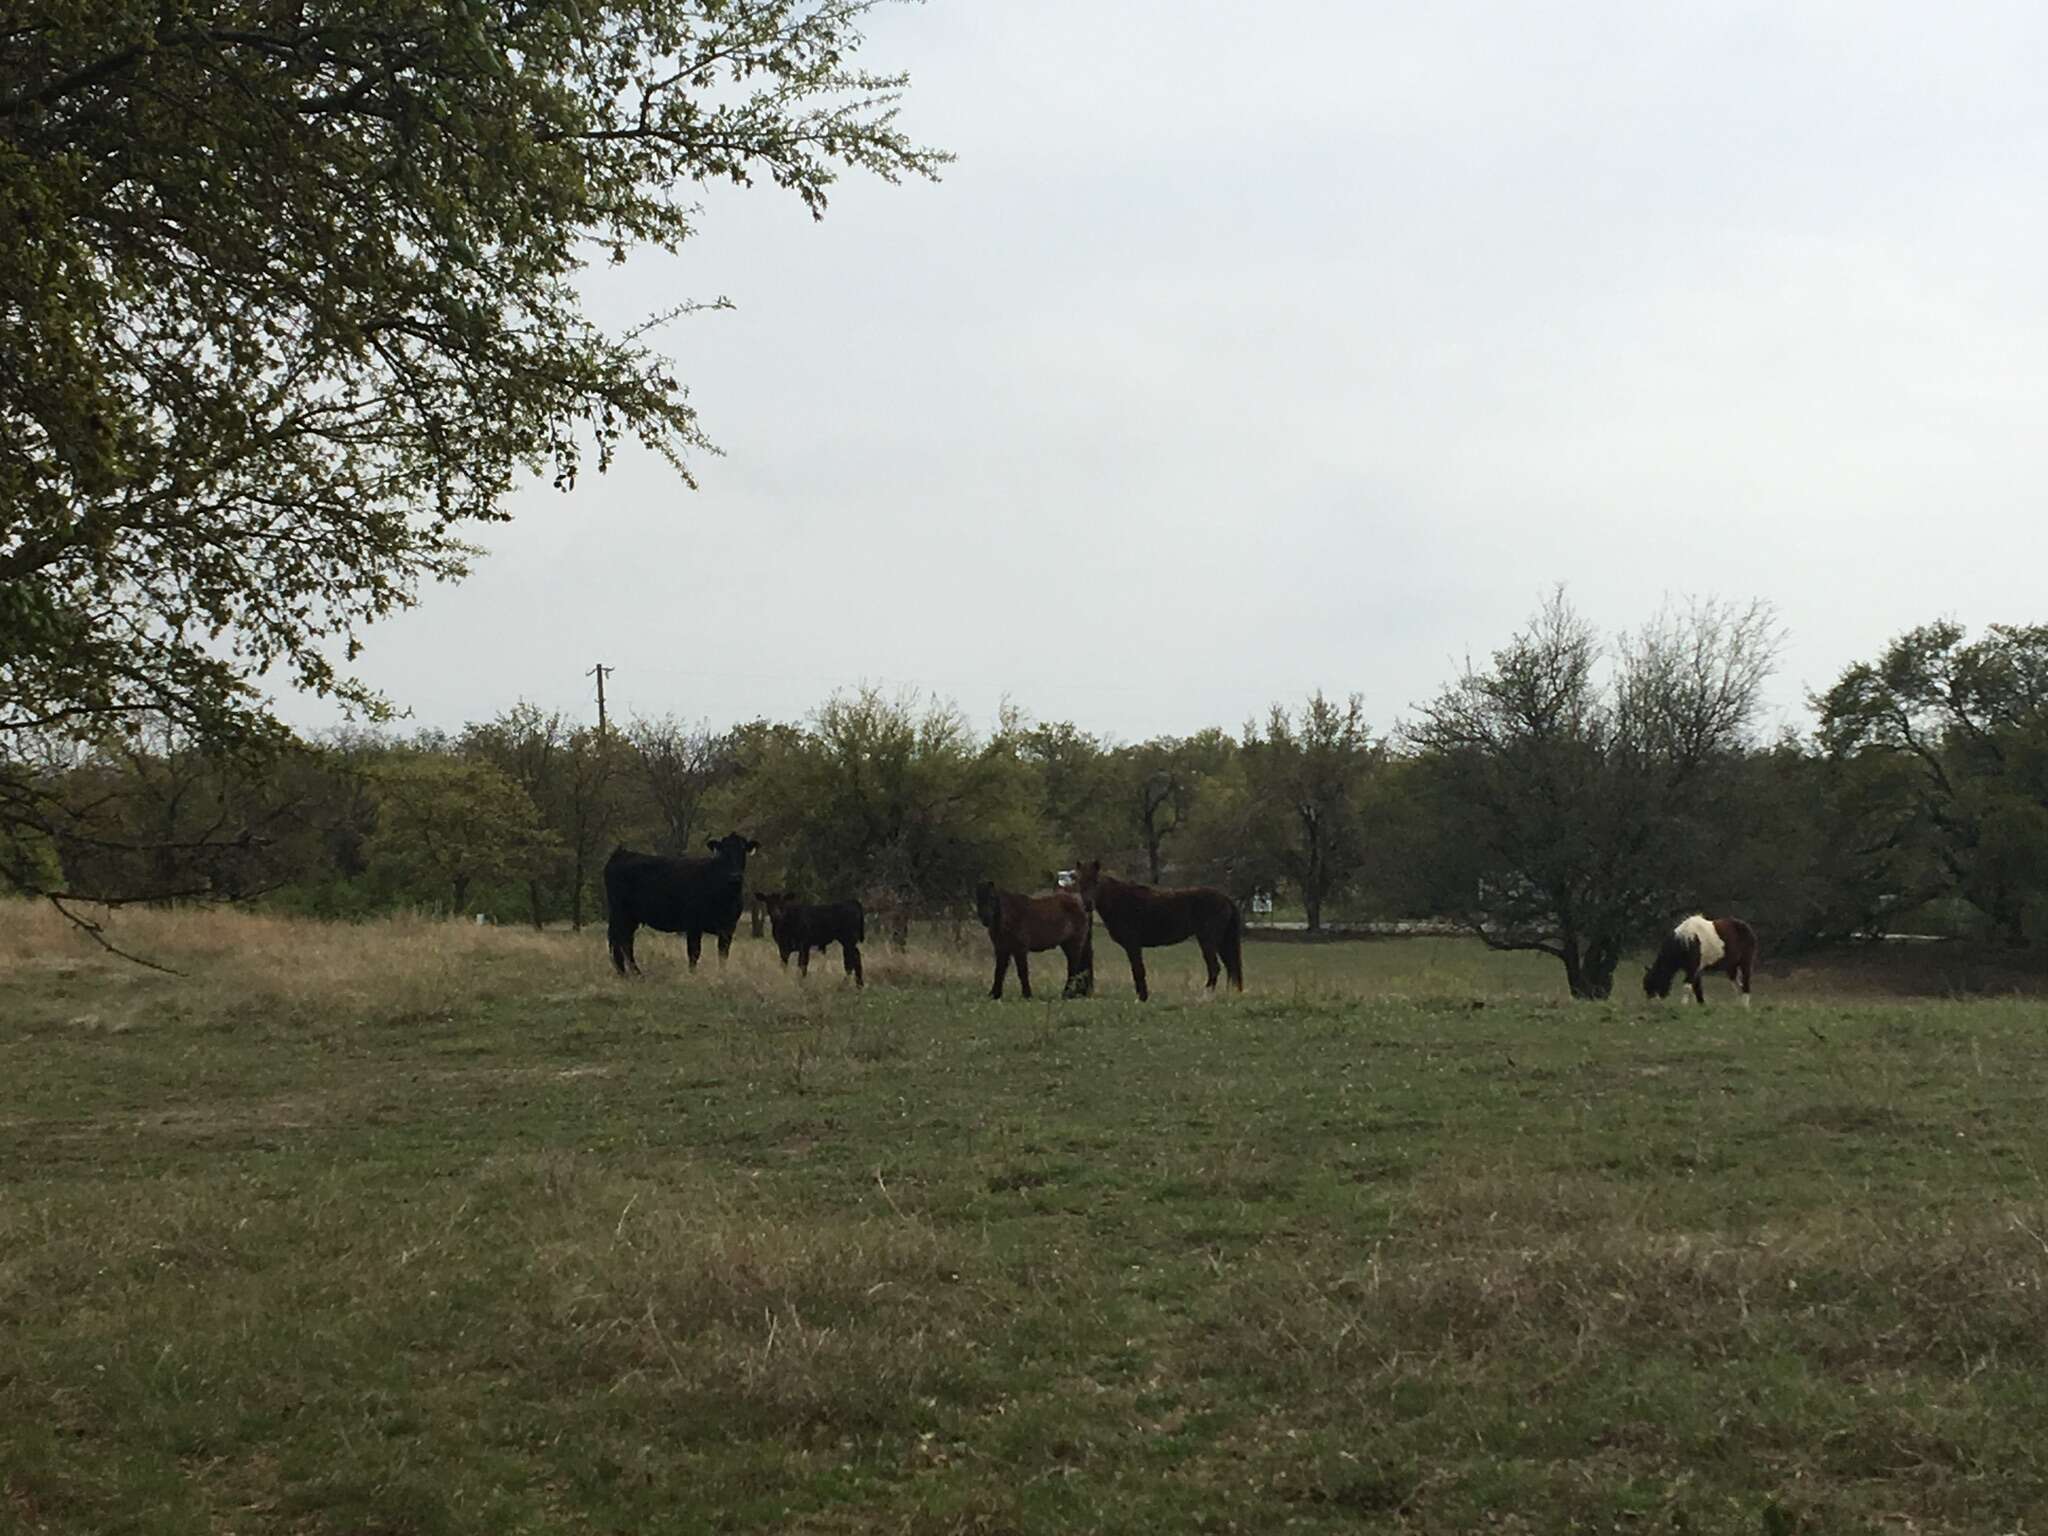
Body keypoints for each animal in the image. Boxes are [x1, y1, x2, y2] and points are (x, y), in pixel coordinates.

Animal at [610, 835, 765, 978]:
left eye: (742, 851)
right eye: (723, 853)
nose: (734, 876)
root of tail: (622, 853)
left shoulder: (728, 927)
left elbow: (723, 953)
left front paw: (722, 975)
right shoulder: (693, 924)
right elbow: (694, 952)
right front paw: (693, 975)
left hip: (629, 918)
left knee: (623, 941)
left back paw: (627, 973)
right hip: (621, 914)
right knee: (622, 941)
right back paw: (631, 973)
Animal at [1073, 860, 1245, 1003]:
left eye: (1096, 882)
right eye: (1080, 882)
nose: (1088, 905)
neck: (1121, 901)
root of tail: (1225, 898)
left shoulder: (1133, 945)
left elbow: (1138, 970)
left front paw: (1141, 998)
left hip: (1208, 940)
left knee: (1215, 967)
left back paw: (1205, 997)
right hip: (1221, 942)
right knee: (1230, 967)